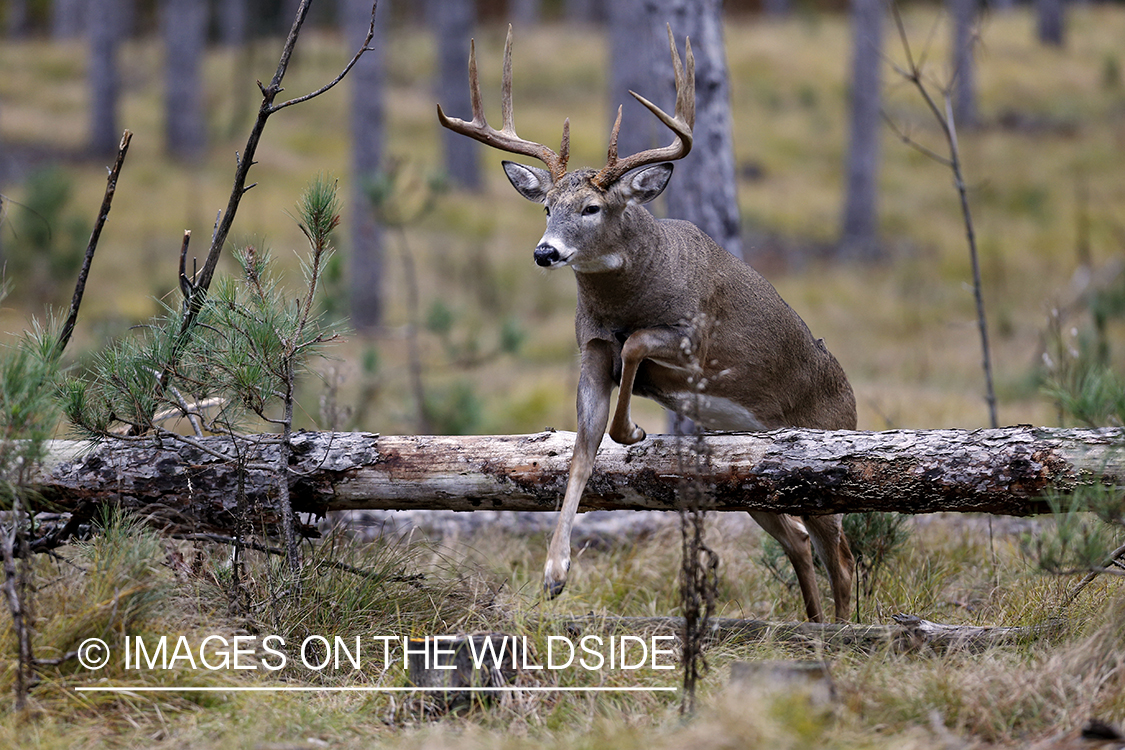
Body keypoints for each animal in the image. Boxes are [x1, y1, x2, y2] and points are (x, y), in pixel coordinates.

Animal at [436, 24, 850, 620]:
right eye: (546, 206)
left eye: (592, 208)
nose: (544, 252)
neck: (627, 297)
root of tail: (852, 400)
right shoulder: (590, 349)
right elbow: (581, 451)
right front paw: (555, 572)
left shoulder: (695, 335)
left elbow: (634, 350)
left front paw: (633, 429)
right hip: (752, 478)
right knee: (799, 539)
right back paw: (817, 625)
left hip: (824, 461)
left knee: (843, 557)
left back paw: (846, 627)